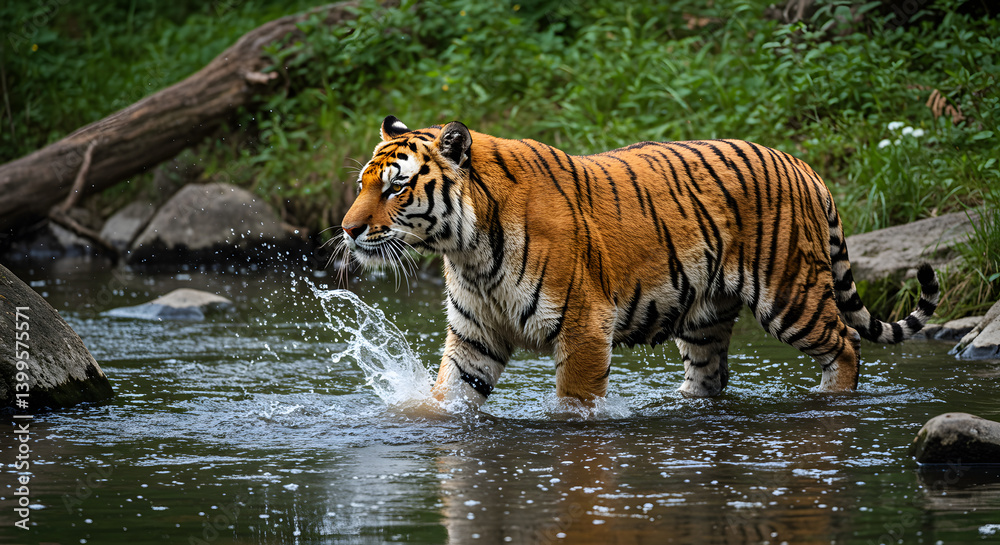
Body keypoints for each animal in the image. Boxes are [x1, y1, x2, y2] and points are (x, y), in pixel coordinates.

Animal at [340, 116, 939, 407]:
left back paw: (830, 399)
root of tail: (804, 165)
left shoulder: (583, 327)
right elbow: (452, 398)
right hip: (704, 319)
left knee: (847, 341)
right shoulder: (474, 335)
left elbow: (574, 404)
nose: (347, 229)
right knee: (711, 375)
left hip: (791, 294)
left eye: (395, 188)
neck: (468, 250)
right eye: (364, 185)